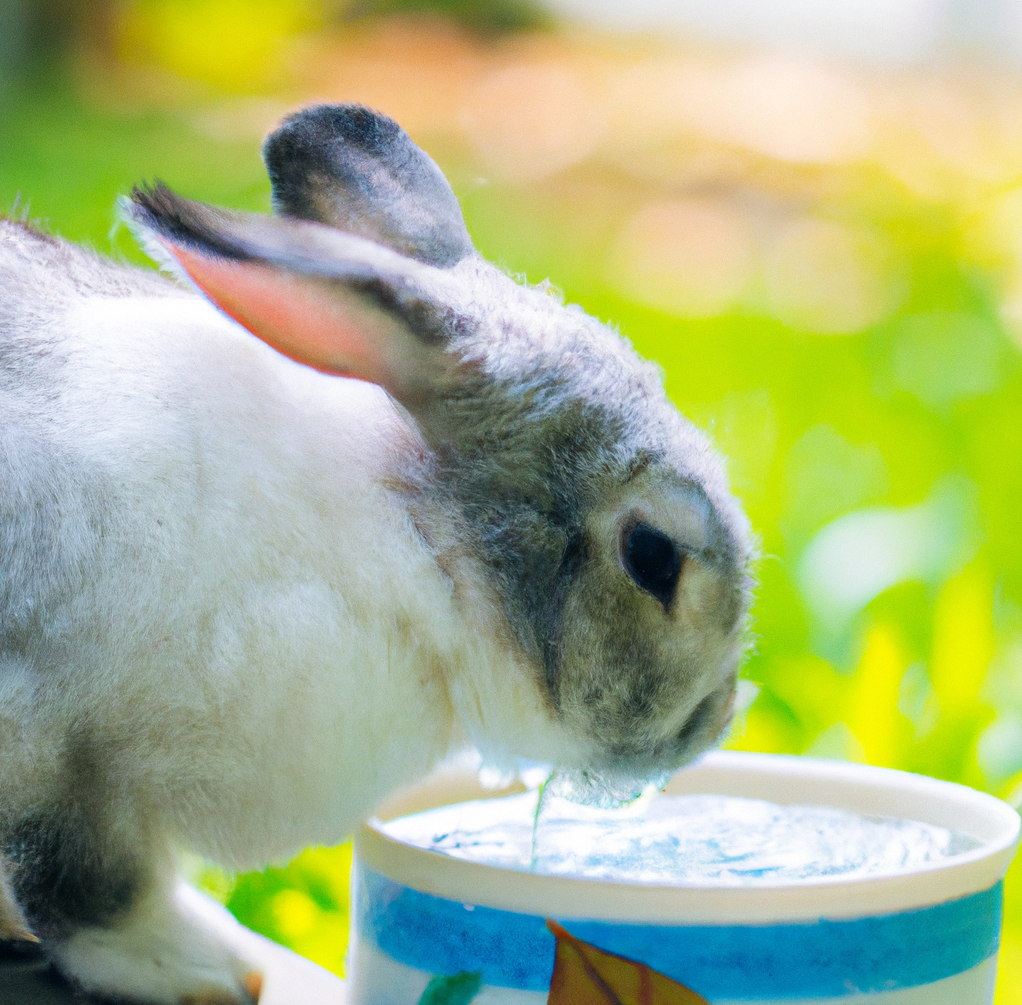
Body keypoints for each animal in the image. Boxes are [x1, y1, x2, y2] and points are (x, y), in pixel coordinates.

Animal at [0, 106, 752, 1001]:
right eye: (653, 556)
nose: (715, 718)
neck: (411, 541)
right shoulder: (57, 744)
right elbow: (89, 882)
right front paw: (192, 967)